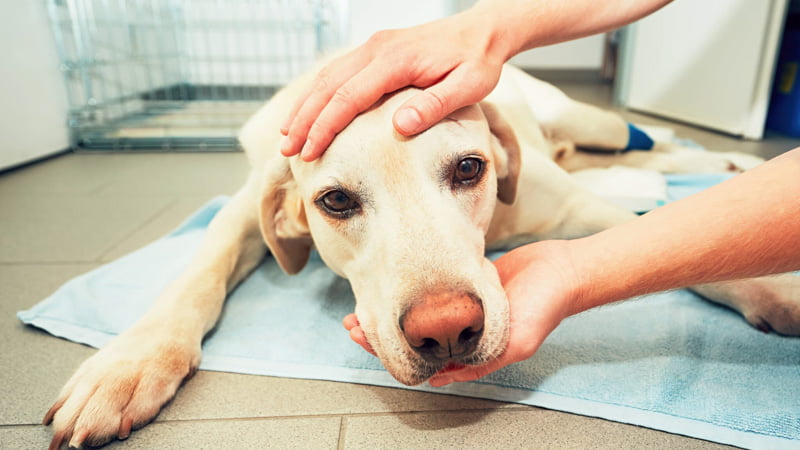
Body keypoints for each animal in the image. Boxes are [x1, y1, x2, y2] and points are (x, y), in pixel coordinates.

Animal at [45, 62, 800, 446]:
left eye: (469, 169)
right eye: (335, 202)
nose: (447, 330)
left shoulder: (575, 210)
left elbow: (682, 236)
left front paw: (773, 286)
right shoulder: (244, 204)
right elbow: (197, 272)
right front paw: (127, 366)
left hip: (591, 119)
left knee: (646, 141)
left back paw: (721, 158)